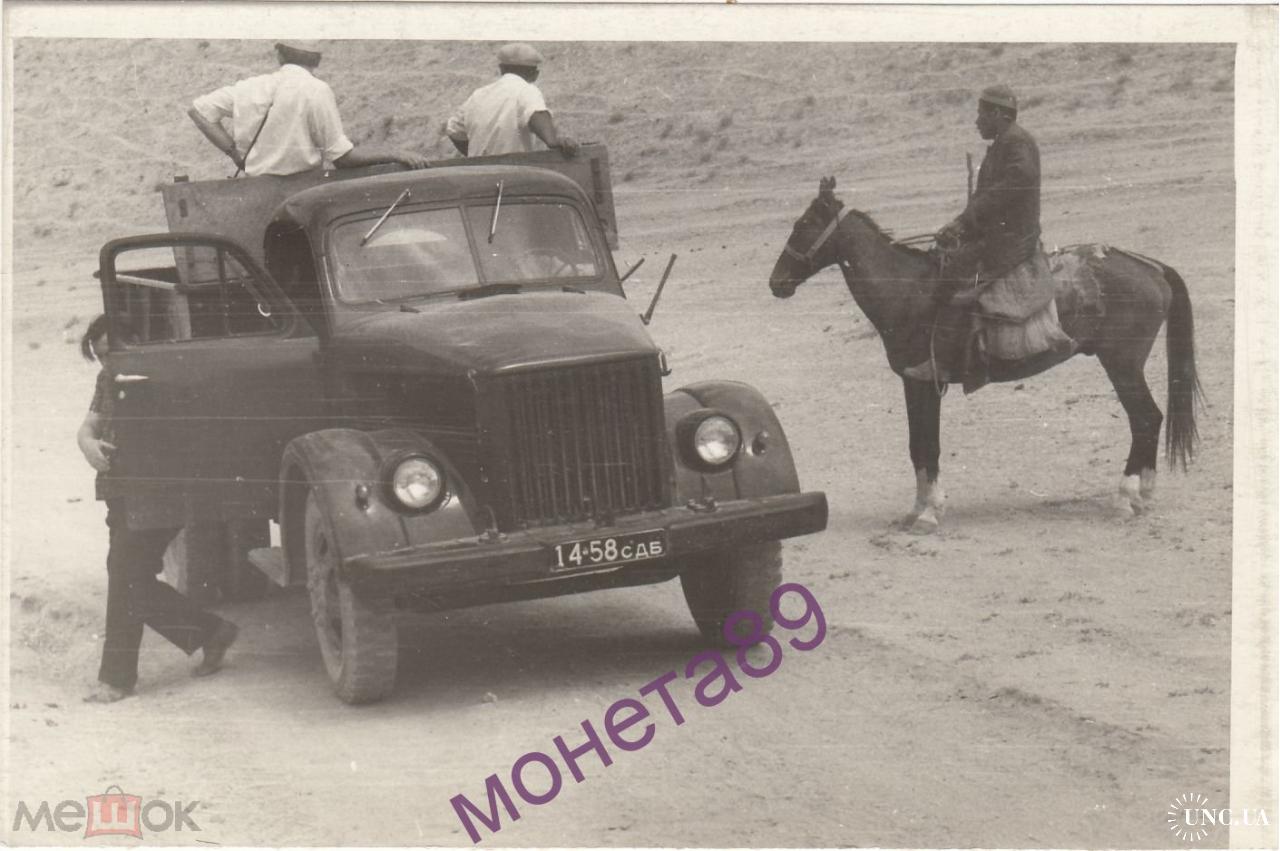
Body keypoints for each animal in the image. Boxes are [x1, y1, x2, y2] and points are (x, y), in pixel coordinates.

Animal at [768, 176, 1198, 532]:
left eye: (802, 226)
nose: (776, 282)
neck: (909, 291)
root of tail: (1150, 266)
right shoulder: (914, 380)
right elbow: (917, 445)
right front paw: (917, 508)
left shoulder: (926, 379)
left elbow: (929, 446)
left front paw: (929, 512)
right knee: (1149, 420)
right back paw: (1143, 496)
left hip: (1122, 365)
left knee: (1145, 418)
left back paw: (1127, 498)